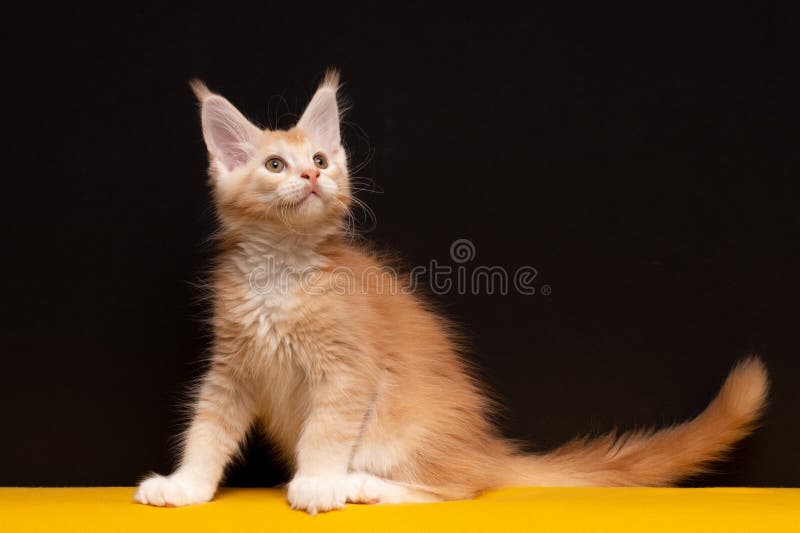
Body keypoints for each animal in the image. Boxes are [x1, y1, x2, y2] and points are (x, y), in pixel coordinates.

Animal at [133, 68, 768, 512]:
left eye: (318, 158)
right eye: (274, 165)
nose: (313, 176)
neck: (281, 271)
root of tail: (482, 447)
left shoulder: (348, 369)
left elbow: (325, 432)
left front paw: (315, 482)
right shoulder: (232, 368)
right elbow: (207, 430)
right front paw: (186, 486)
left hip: (401, 428)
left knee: (460, 487)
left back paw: (361, 484)